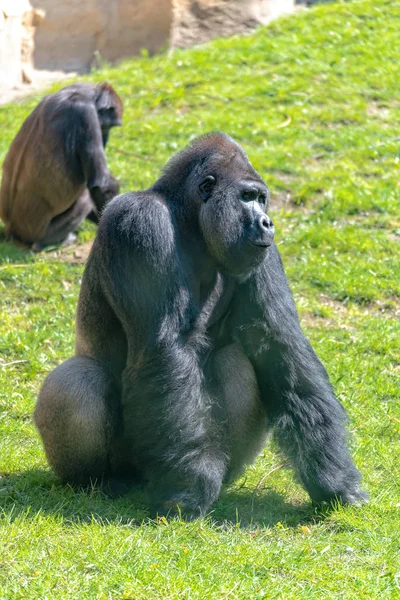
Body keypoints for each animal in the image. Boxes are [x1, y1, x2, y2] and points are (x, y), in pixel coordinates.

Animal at [0, 81, 122, 250]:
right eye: (106, 127)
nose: (107, 137)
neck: (79, 93)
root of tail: (11, 229)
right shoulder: (85, 113)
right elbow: (101, 185)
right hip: (42, 233)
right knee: (84, 200)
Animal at [34, 134, 366, 516]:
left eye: (261, 199)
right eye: (247, 197)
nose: (268, 222)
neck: (188, 217)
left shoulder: (264, 252)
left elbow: (278, 343)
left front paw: (334, 477)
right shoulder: (140, 220)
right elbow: (167, 346)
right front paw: (189, 486)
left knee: (235, 359)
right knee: (80, 377)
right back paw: (101, 480)